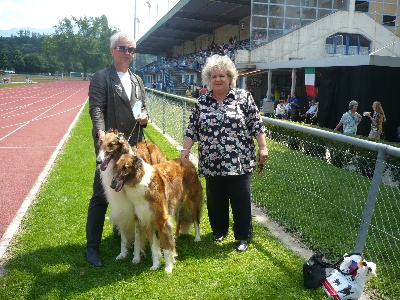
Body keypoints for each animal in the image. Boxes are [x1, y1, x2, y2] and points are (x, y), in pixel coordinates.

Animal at [97, 129, 166, 262]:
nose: (98, 161)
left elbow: (137, 236)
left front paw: (136, 256)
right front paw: (122, 253)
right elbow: (124, 235)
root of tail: (151, 144)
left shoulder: (137, 212)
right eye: (100, 142)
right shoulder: (122, 209)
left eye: (111, 144)